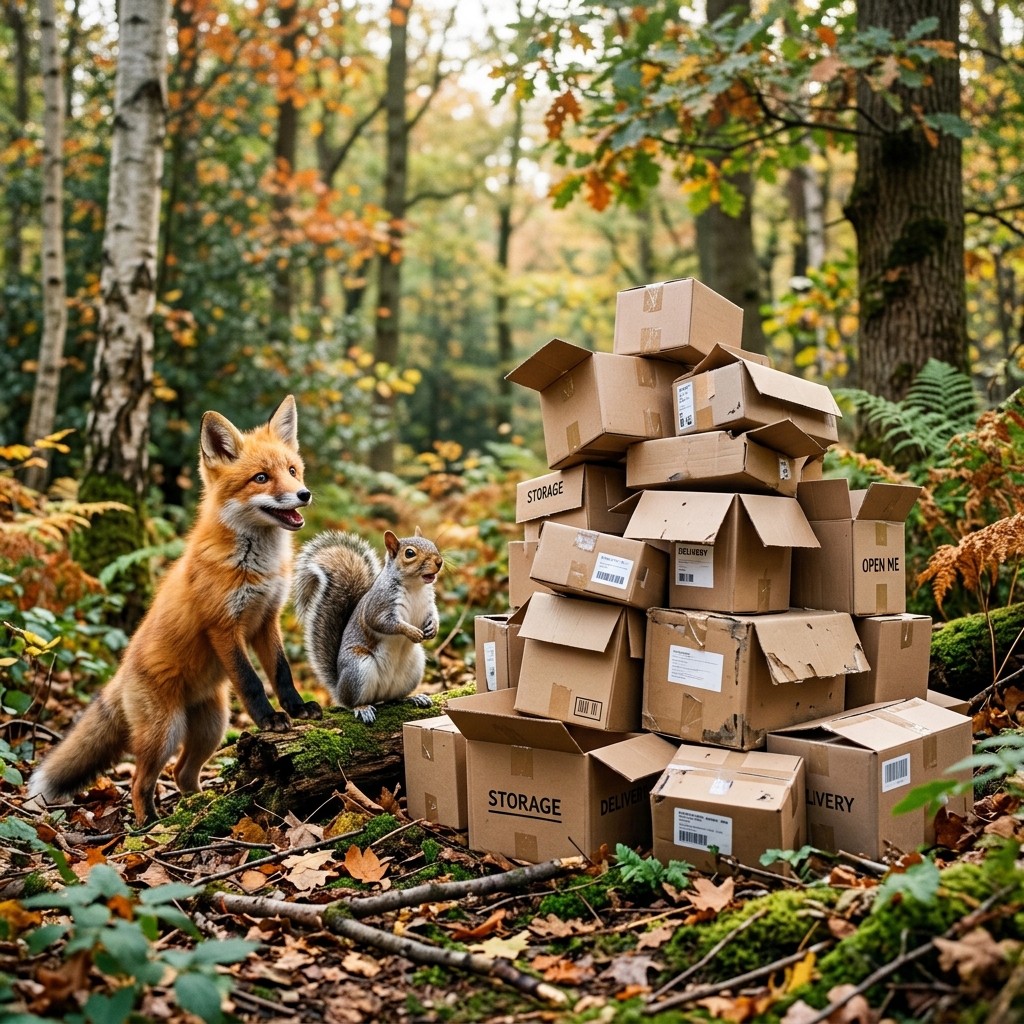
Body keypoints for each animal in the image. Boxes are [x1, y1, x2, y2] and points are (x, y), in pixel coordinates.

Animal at [28, 396, 322, 824]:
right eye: (261, 478)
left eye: (292, 470)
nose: (304, 494)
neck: (257, 564)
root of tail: (120, 675)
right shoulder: (223, 626)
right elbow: (251, 680)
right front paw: (269, 718)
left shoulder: (267, 620)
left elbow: (281, 672)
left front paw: (298, 708)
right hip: (166, 732)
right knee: (141, 781)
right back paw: (149, 822)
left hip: (212, 727)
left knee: (182, 774)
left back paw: (201, 807)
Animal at [293, 528, 443, 723]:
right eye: (409, 553)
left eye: (432, 544)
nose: (439, 562)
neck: (415, 586)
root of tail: (339, 688)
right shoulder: (378, 605)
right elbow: (383, 623)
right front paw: (411, 632)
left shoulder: (428, 604)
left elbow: (434, 615)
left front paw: (433, 628)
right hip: (358, 667)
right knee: (352, 703)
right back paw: (362, 708)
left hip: (414, 667)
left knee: (394, 699)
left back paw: (414, 698)